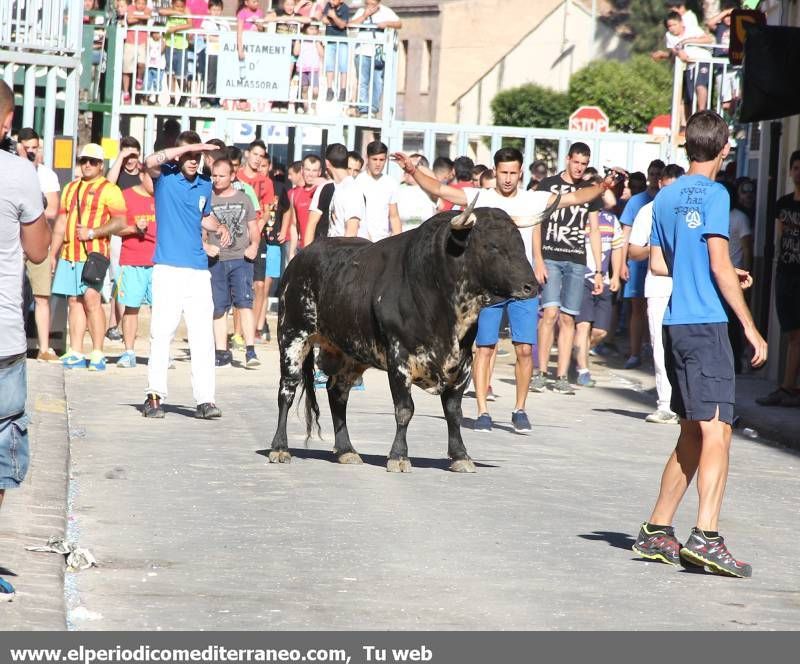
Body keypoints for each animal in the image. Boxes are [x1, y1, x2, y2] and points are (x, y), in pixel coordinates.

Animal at [266, 192, 560, 472]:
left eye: (520, 244)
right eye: (492, 246)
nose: (531, 286)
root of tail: (299, 259)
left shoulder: (464, 362)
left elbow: (453, 411)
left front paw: (461, 456)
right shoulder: (399, 359)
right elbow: (405, 409)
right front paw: (398, 456)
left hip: (350, 352)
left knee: (337, 392)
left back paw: (347, 451)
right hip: (293, 337)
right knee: (286, 391)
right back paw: (279, 448)